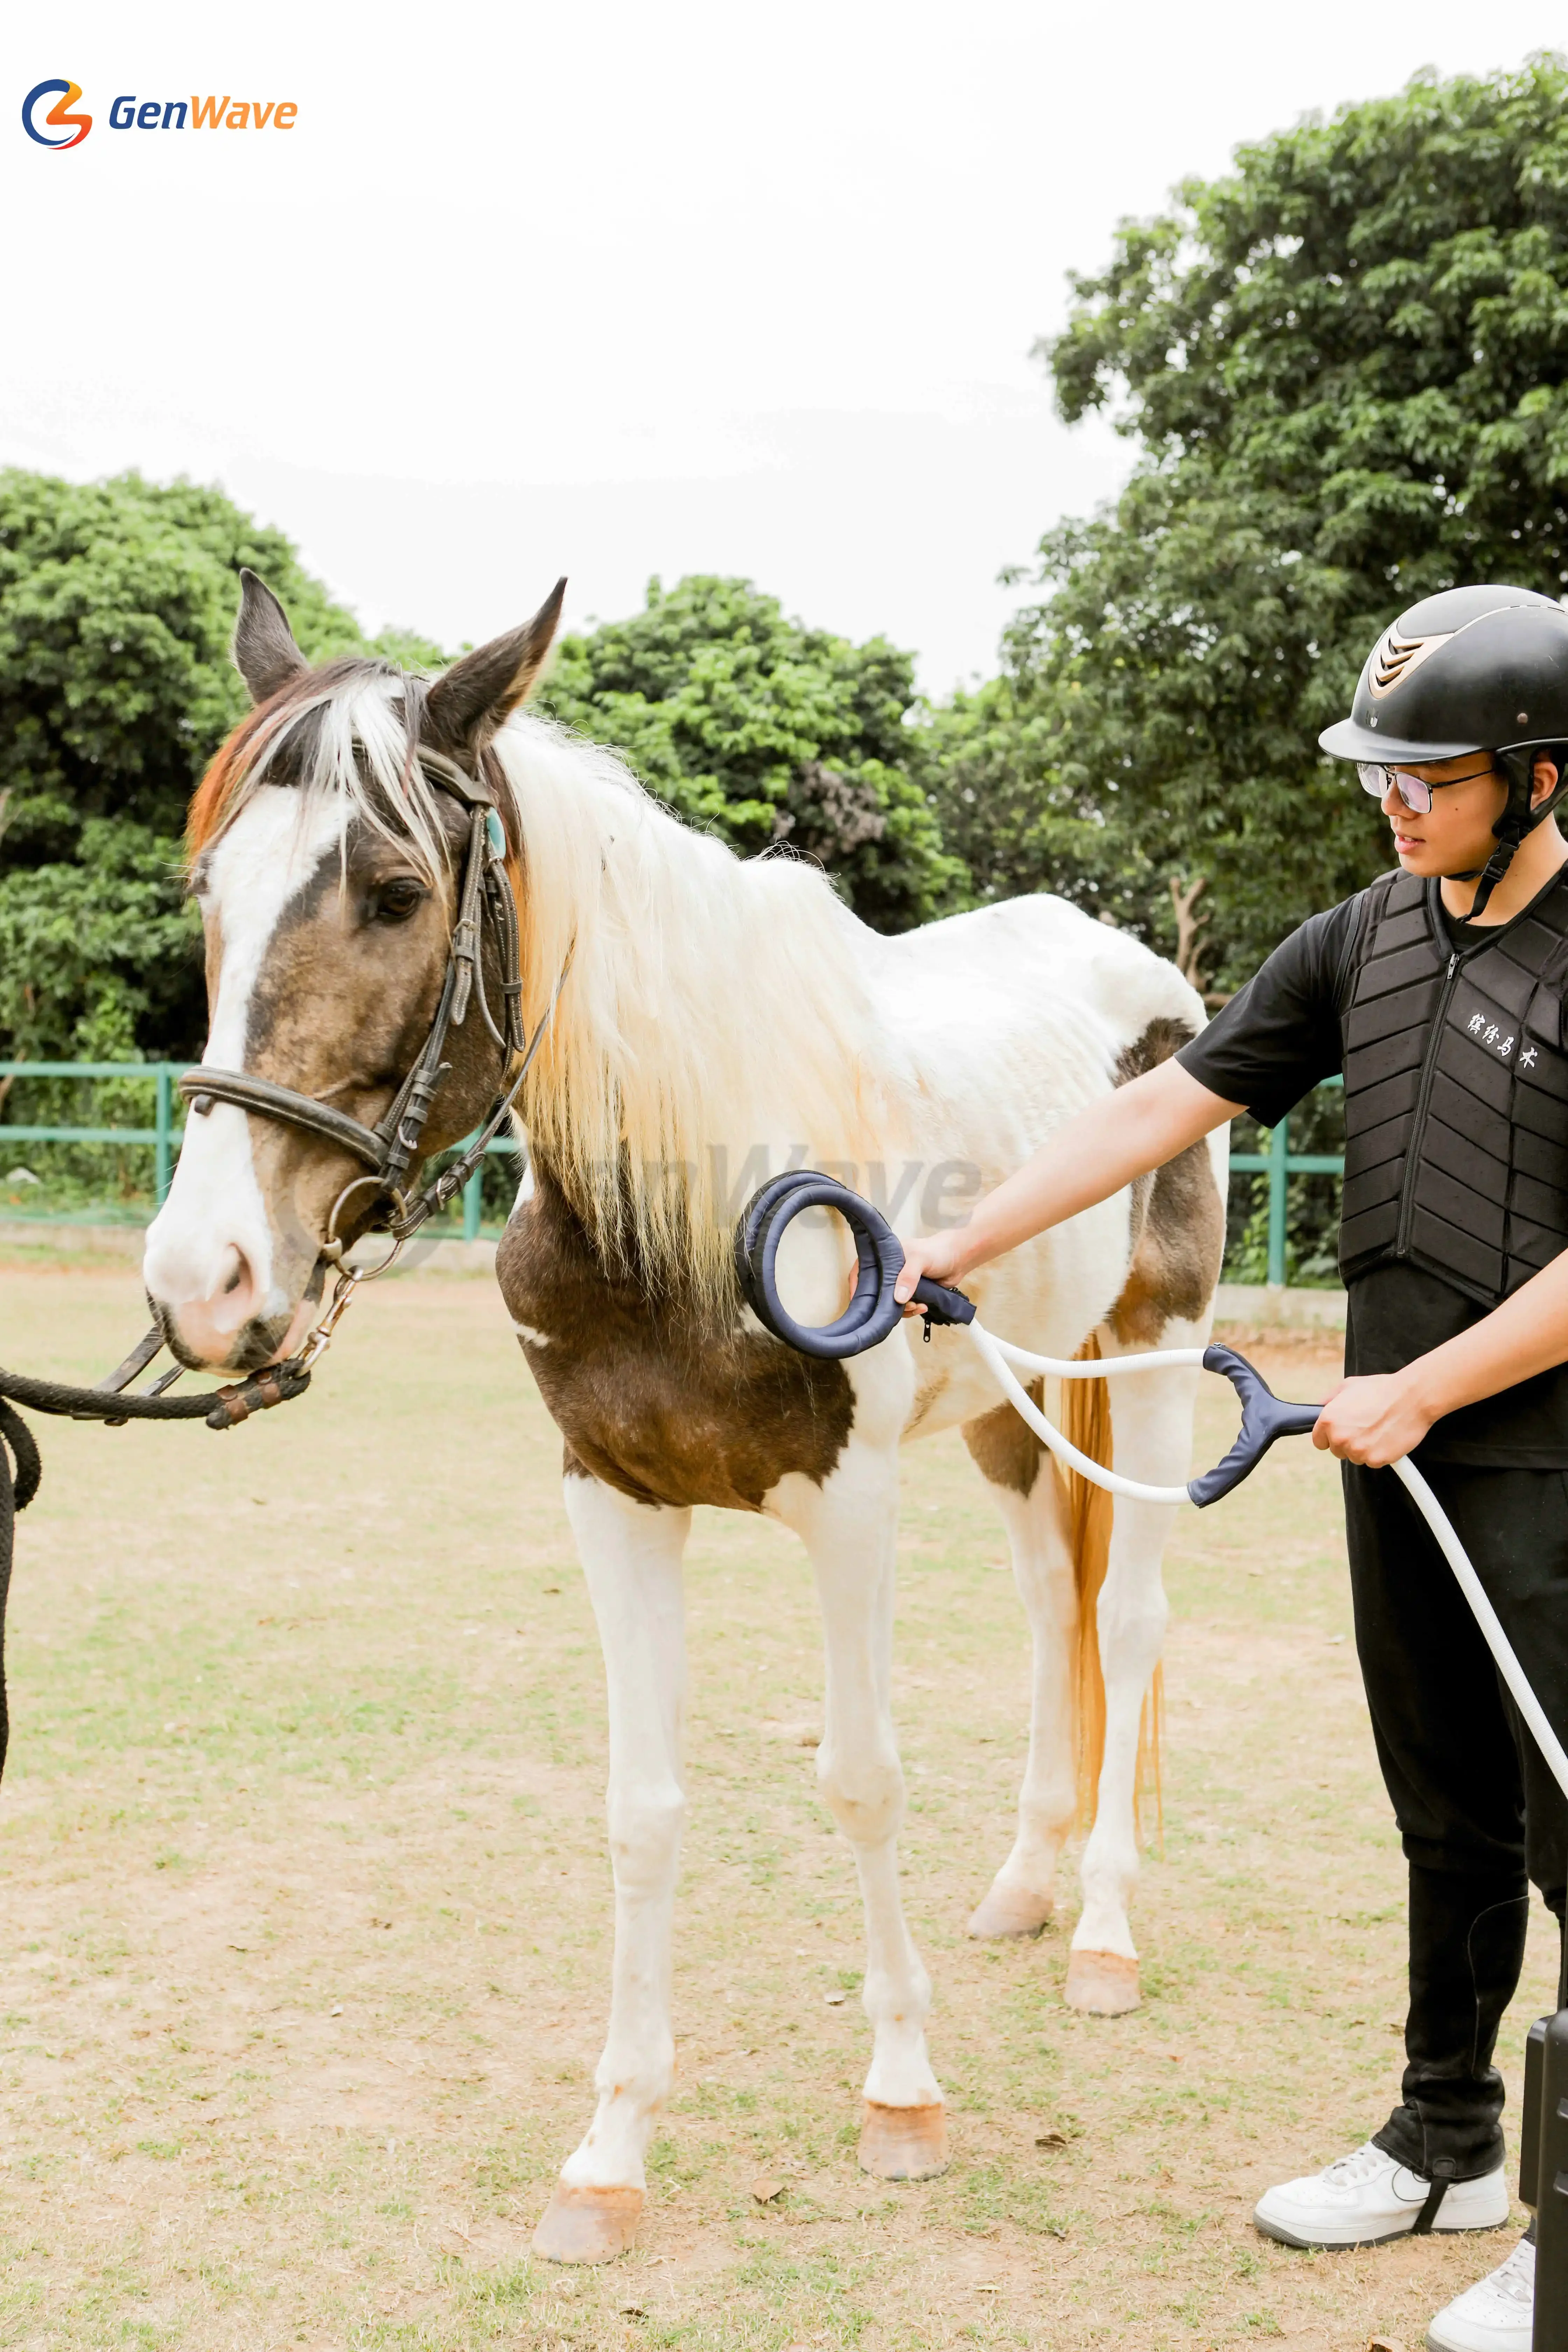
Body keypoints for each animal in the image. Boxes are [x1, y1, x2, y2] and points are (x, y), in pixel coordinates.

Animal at [141, 572, 1227, 2264]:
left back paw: (1101, 1931)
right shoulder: (611, 1495)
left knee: (1123, 1618)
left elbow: (860, 1775)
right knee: (1053, 1601)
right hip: (1009, 1398)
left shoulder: (850, 1500)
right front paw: (609, 2153)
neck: (692, 1202)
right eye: (211, 889)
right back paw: (1022, 1881)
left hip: (1154, 1357)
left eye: (394, 890)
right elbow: (641, 1810)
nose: (203, 1277)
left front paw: (901, 2091)